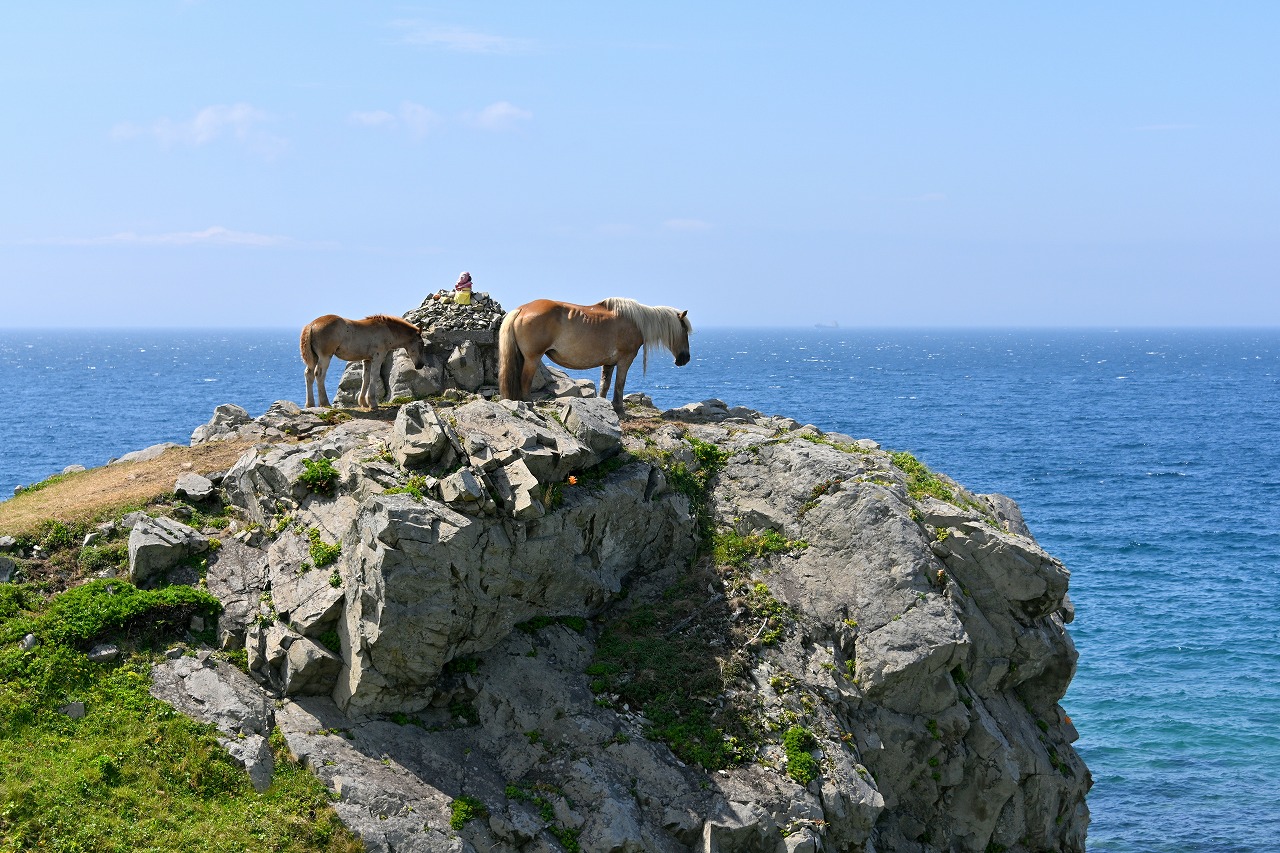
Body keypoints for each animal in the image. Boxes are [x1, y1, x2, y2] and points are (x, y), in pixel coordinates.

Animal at [299, 312, 430, 409]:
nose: (420, 364)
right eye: (421, 343)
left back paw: (310, 404)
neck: (387, 330)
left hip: (314, 357)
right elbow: (374, 376)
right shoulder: (378, 357)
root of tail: (311, 325)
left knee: (308, 374)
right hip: (325, 356)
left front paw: (363, 402)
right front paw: (373, 403)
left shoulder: (367, 359)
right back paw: (325, 403)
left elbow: (365, 378)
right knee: (319, 374)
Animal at [496, 297, 691, 412]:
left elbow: (605, 384)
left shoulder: (609, 363)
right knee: (524, 381)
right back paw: (528, 403)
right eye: (684, 331)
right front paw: (618, 408)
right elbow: (619, 384)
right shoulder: (625, 359)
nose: (685, 358)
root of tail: (522, 309)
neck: (636, 322)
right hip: (532, 358)